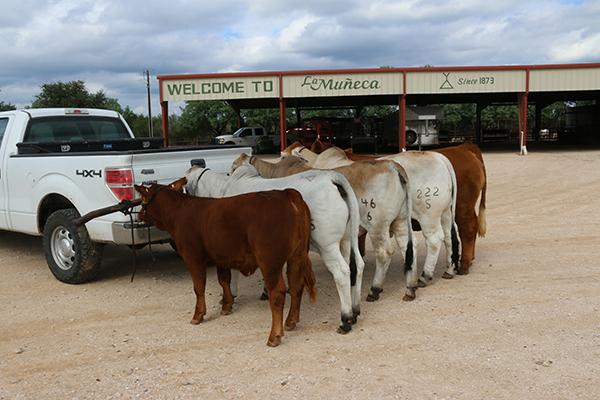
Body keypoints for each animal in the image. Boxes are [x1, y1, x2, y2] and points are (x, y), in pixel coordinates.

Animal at [134, 179, 316, 346]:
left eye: (142, 198)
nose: (138, 215)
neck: (179, 212)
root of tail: (285, 193)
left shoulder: (193, 257)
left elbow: (199, 287)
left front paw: (198, 315)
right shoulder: (221, 258)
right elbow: (224, 281)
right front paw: (227, 306)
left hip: (270, 261)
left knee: (278, 293)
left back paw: (274, 336)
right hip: (296, 256)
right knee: (296, 286)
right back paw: (291, 321)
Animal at [185, 164, 366, 332]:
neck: (224, 188)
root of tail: (332, 177)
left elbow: (233, 273)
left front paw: (231, 296)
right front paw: (265, 291)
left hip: (327, 246)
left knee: (342, 273)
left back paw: (345, 319)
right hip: (345, 240)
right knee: (357, 265)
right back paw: (355, 311)